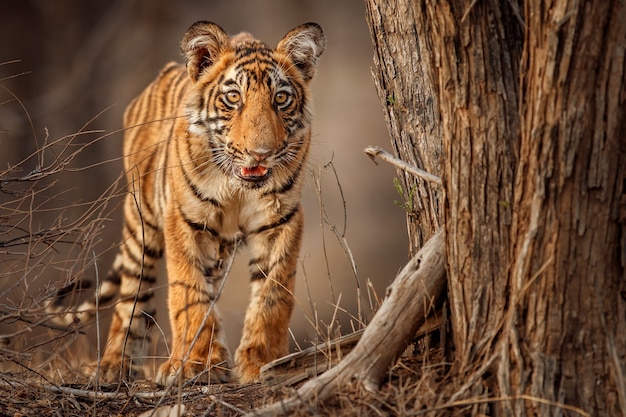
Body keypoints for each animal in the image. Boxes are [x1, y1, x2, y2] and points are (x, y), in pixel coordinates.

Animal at [46, 20, 324, 384]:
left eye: (280, 98)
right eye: (233, 97)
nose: (260, 153)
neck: (237, 187)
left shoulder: (281, 221)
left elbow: (273, 296)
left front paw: (262, 363)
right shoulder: (183, 220)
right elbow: (189, 294)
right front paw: (196, 364)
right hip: (140, 226)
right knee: (133, 300)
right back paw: (114, 366)